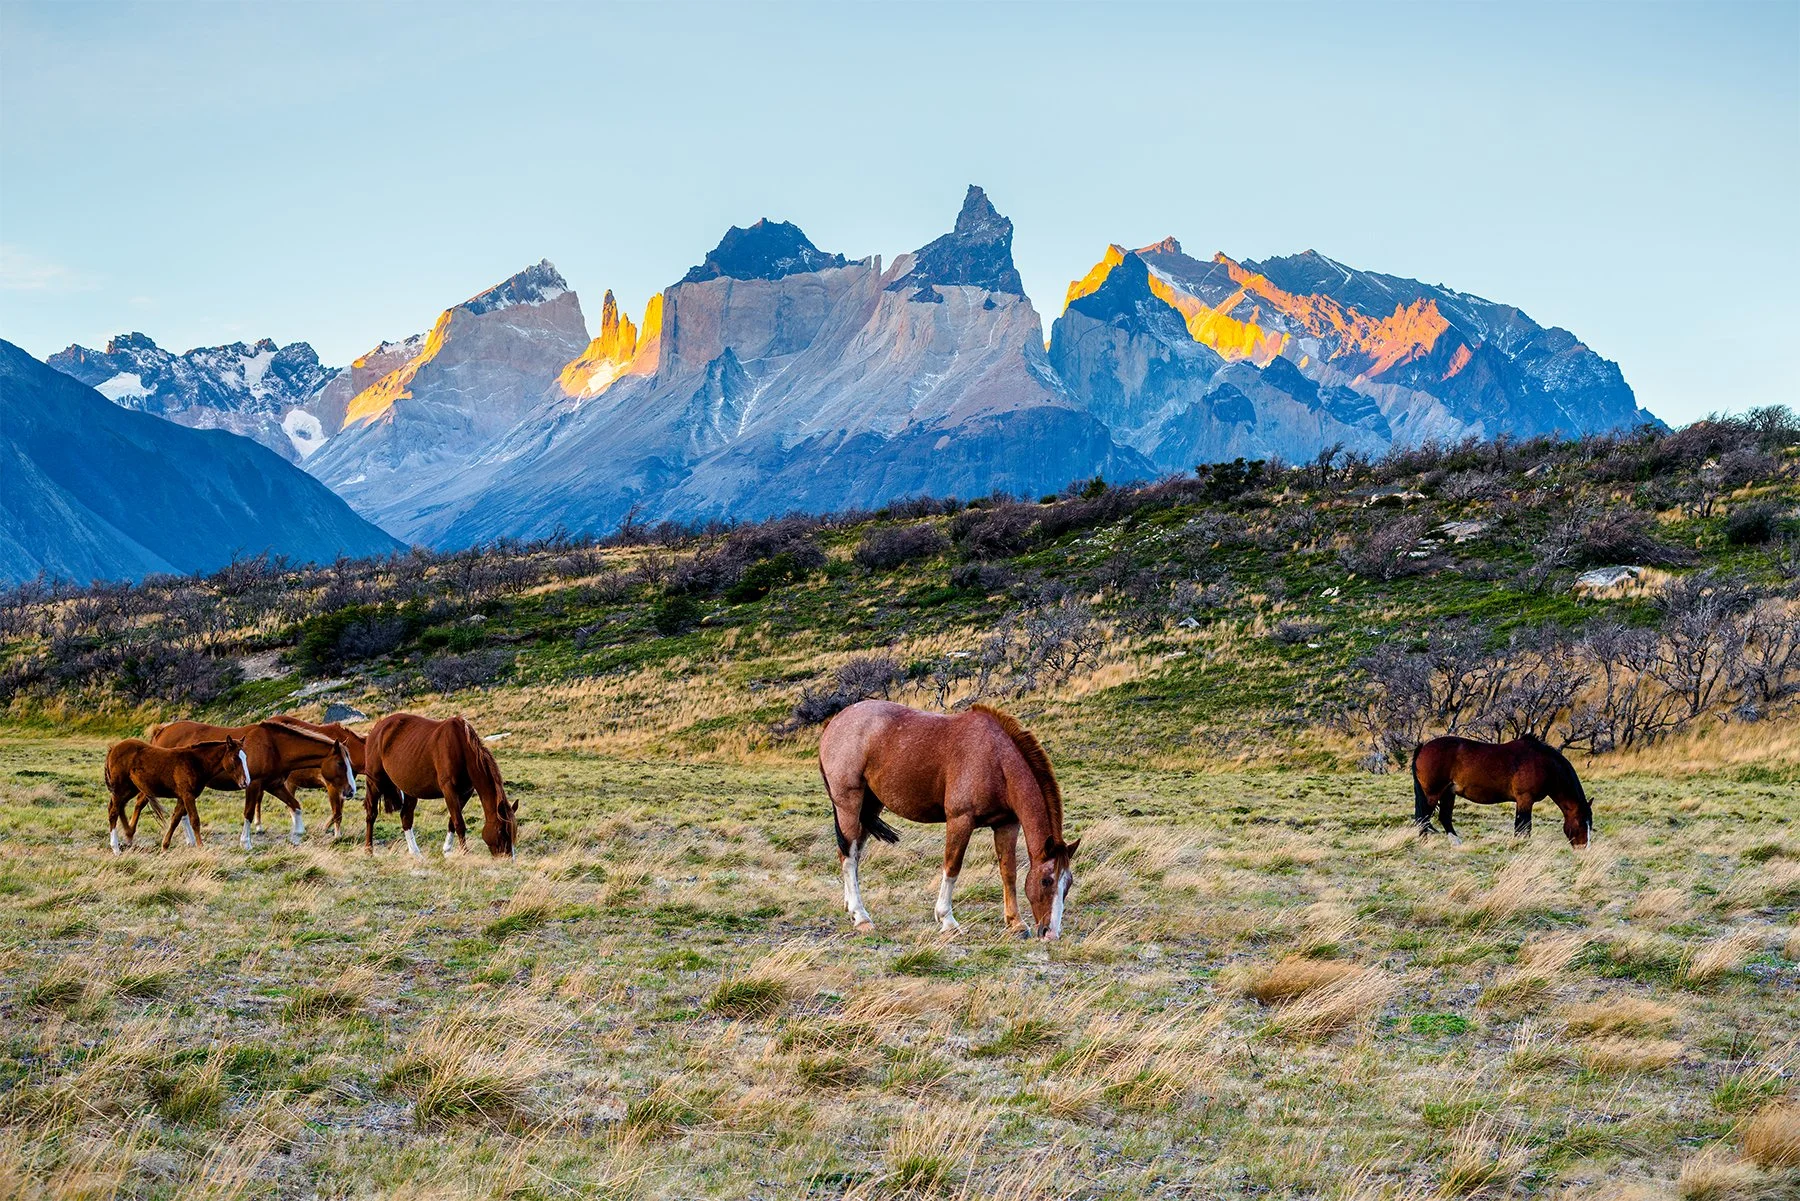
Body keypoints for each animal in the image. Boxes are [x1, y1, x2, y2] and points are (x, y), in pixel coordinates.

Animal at [104, 737, 249, 851]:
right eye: (235, 757)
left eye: (245, 757)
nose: (246, 782)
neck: (196, 762)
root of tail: (113, 749)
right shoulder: (188, 795)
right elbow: (195, 820)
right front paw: (201, 847)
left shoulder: (182, 797)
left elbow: (175, 820)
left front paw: (164, 847)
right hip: (120, 788)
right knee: (113, 811)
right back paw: (115, 848)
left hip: (131, 788)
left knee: (120, 807)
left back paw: (128, 835)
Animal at [148, 719, 356, 849]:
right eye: (340, 763)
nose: (351, 790)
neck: (274, 747)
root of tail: (162, 731)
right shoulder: (254, 784)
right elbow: (248, 813)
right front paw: (245, 842)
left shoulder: (275, 785)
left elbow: (295, 806)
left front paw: (296, 836)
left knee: (181, 813)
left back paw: (190, 840)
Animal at [362, 713, 515, 857]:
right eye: (502, 831)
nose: (508, 858)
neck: (461, 748)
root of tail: (378, 727)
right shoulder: (449, 790)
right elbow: (459, 823)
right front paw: (464, 853)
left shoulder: (465, 793)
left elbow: (452, 822)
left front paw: (447, 851)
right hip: (374, 782)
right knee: (371, 814)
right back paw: (369, 851)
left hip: (410, 789)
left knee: (406, 817)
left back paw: (416, 854)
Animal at [818, 700, 1080, 939]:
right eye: (1046, 881)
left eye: (1068, 884)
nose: (1050, 933)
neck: (996, 760)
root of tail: (835, 722)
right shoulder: (960, 820)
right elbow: (952, 867)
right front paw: (947, 920)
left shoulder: (1006, 824)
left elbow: (1009, 872)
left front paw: (1015, 923)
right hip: (849, 804)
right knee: (849, 856)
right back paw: (861, 917)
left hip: (870, 806)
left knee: (853, 854)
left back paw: (850, 908)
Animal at [1412, 734, 1593, 848]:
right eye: (1580, 823)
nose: (1584, 848)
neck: (1544, 764)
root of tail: (1423, 747)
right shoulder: (1525, 799)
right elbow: (1523, 826)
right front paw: (1521, 845)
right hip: (1433, 794)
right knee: (1424, 818)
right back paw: (1425, 843)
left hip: (1448, 793)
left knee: (1444, 817)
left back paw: (1456, 843)